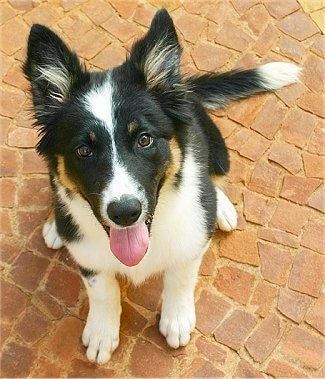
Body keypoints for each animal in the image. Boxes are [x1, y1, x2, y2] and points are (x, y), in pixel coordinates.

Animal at [24, 8, 300, 366]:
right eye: (84, 150)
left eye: (144, 139)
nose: (125, 213)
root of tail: (183, 88)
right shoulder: (89, 258)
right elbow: (102, 290)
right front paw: (101, 332)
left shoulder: (191, 240)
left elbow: (180, 277)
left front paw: (177, 319)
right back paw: (55, 225)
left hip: (217, 148)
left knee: (214, 177)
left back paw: (222, 207)